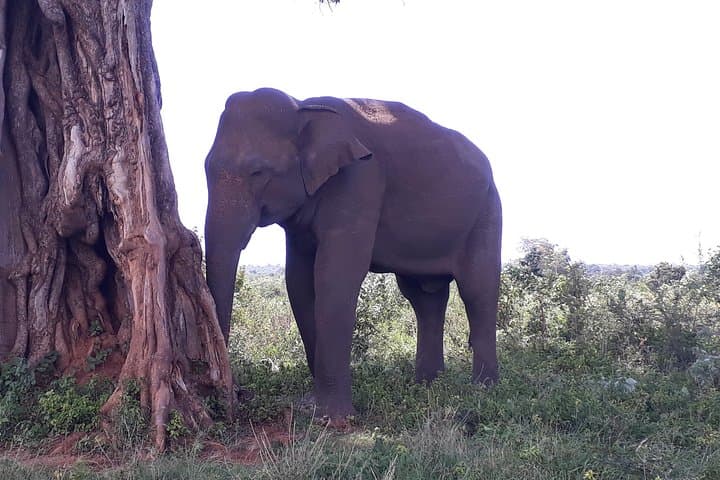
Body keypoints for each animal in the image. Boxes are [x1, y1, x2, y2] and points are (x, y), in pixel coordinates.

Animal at [204, 88, 502, 420]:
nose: (232, 396)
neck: (304, 107)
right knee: (424, 298)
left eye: (258, 172)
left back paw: (484, 389)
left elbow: (334, 275)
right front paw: (315, 407)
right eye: (206, 167)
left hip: (487, 211)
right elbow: (298, 282)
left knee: (478, 290)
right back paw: (426, 386)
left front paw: (333, 418)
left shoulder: (360, 180)